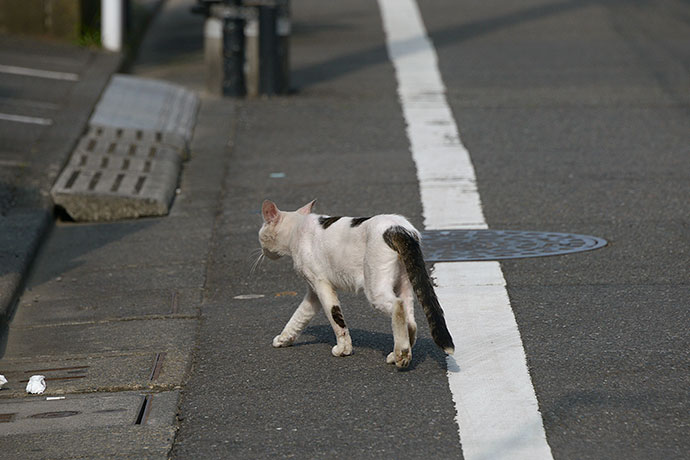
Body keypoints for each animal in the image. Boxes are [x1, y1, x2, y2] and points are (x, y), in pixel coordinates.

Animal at [256, 199, 452, 368]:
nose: (262, 251)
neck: (298, 228)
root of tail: (400, 228)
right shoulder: (313, 292)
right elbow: (300, 315)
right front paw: (284, 338)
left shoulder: (321, 284)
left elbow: (335, 317)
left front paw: (343, 349)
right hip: (404, 283)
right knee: (411, 320)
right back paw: (398, 353)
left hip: (375, 287)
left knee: (398, 306)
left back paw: (402, 355)